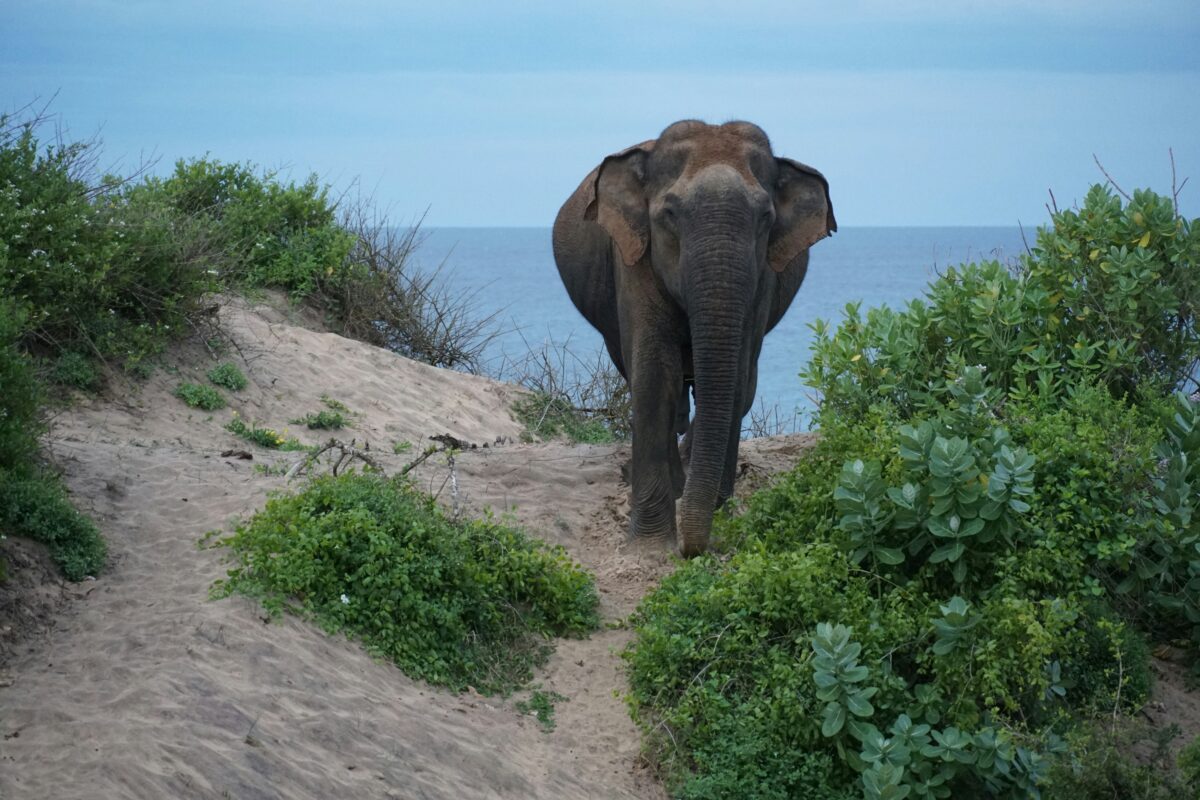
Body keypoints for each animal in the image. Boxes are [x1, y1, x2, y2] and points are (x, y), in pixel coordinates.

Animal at [552, 120, 836, 556]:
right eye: (669, 214)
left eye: (765, 217)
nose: (693, 548)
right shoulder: (634, 259)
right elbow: (655, 376)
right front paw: (651, 547)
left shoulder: (763, 280)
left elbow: (736, 380)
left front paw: (716, 511)